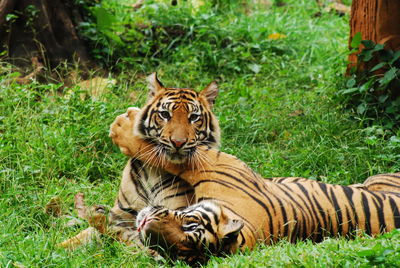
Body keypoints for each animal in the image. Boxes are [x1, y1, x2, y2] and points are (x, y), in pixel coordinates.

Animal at [110, 110, 400, 264]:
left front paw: (124, 127)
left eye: (190, 228)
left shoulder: (214, 163)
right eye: (168, 251)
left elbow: (174, 156)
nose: (144, 226)